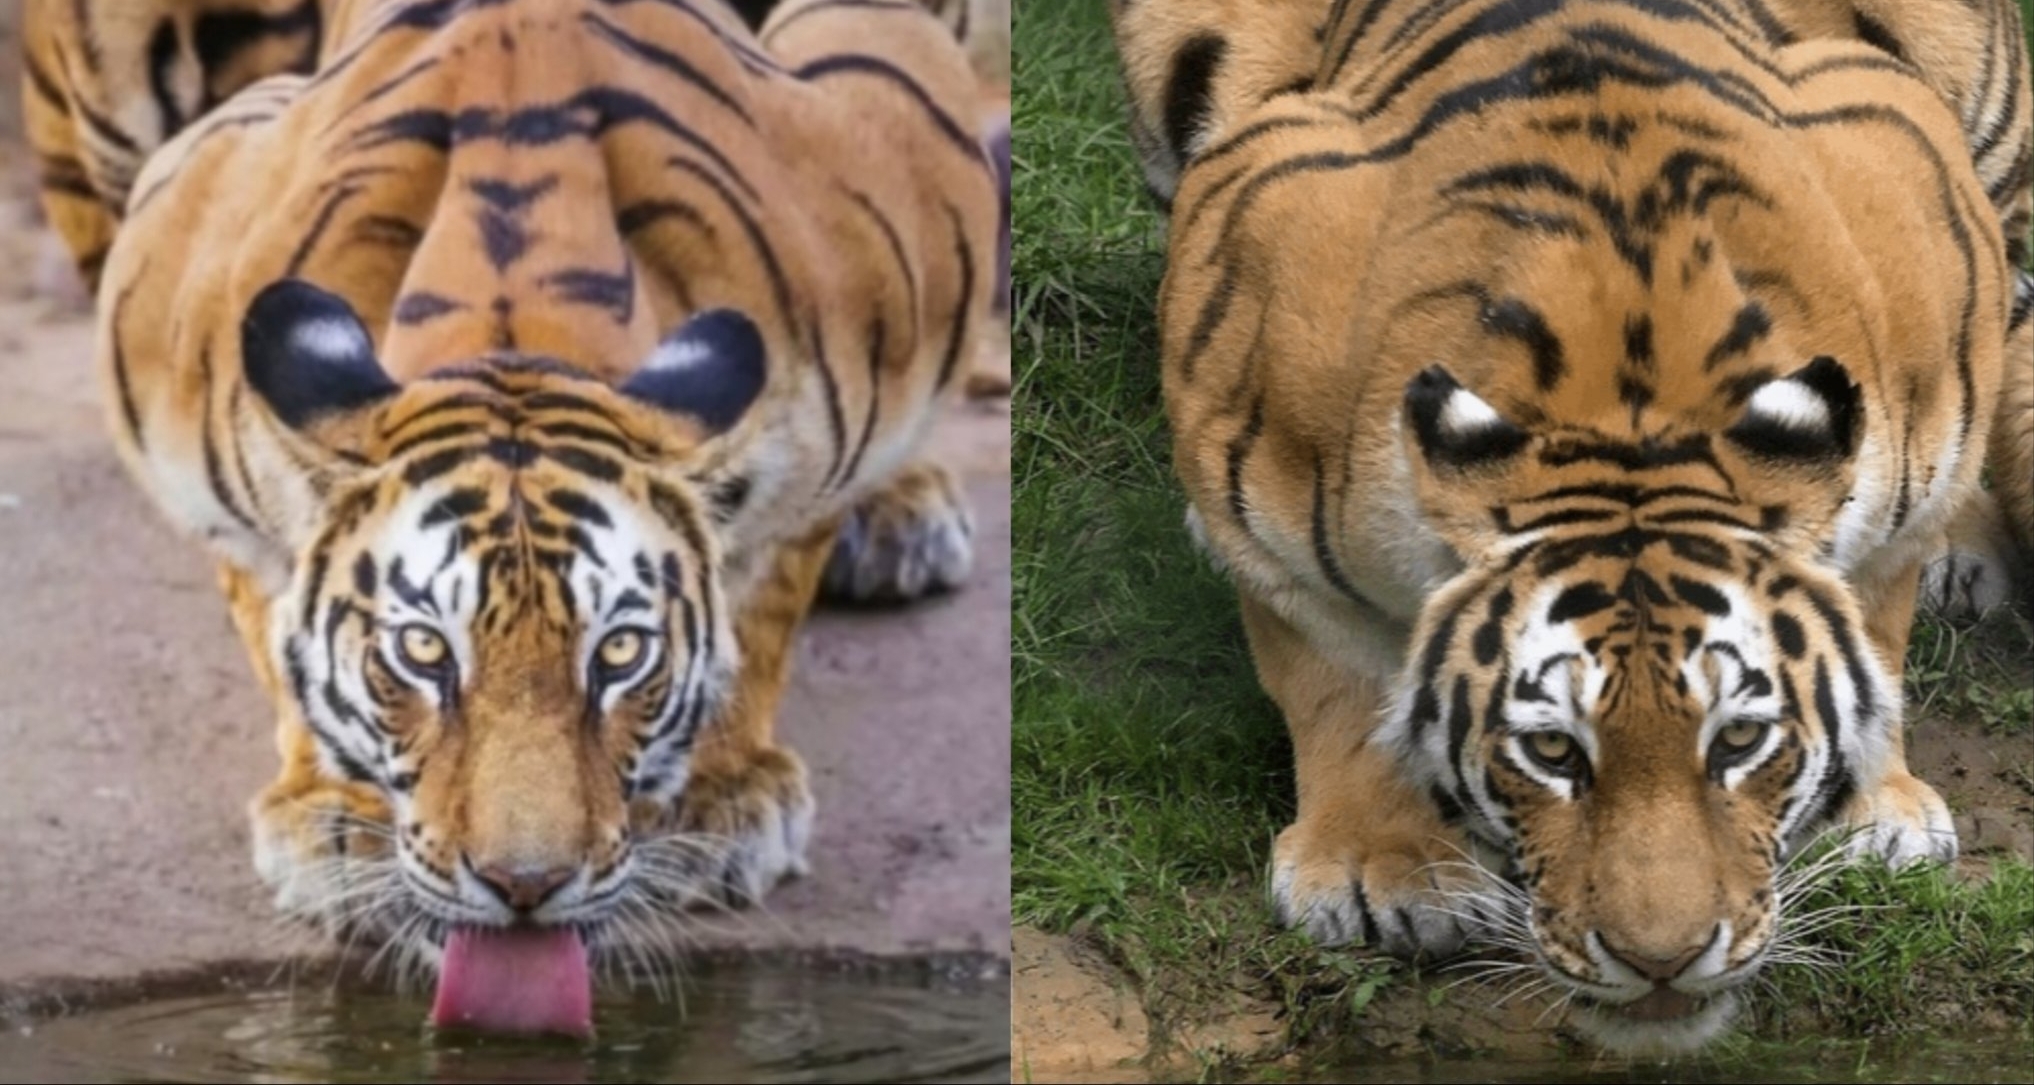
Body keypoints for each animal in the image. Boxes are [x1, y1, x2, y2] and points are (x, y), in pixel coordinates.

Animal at [31, 0, 1005, 1035]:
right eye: (422, 652)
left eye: (622, 654)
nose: (525, 885)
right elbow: (269, 592)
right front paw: (338, 820)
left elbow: (775, 570)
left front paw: (718, 799)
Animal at [1112, 0, 2030, 1056]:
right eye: (1551, 751)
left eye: (1740, 740)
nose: (1663, 960)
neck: (1628, 410)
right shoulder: (1253, 459)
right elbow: (1336, 674)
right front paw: (1386, 868)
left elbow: (1876, 613)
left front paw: (1873, 812)